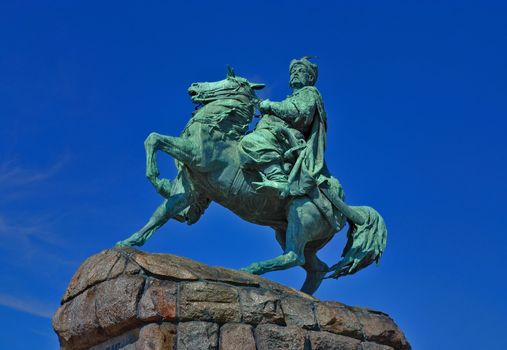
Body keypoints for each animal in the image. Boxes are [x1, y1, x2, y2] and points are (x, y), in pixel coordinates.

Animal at [116, 66, 384, 296]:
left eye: (229, 81)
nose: (194, 85)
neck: (217, 130)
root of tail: (345, 208)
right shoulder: (190, 191)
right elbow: (160, 214)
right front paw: (129, 241)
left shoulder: (194, 154)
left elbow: (154, 138)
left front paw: (155, 176)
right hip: (289, 232)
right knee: (316, 268)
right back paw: (302, 295)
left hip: (300, 220)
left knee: (294, 256)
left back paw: (251, 268)